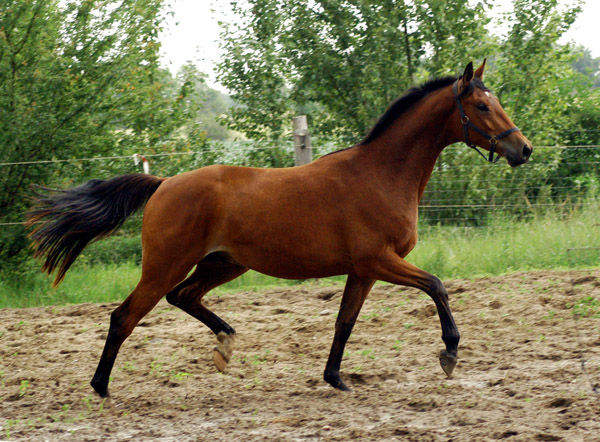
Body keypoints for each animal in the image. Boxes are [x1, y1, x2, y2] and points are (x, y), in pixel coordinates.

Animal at [28, 61, 532, 398]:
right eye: (482, 106)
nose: (523, 149)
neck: (381, 175)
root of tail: (164, 183)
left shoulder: (363, 270)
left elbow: (344, 323)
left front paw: (336, 379)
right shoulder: (379, 260)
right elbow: (437, 286)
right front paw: (449, 354)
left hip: (224, 264)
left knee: (182, 297)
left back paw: (225, 344)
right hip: (166, 263)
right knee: (125, 316)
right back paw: (101, 387)